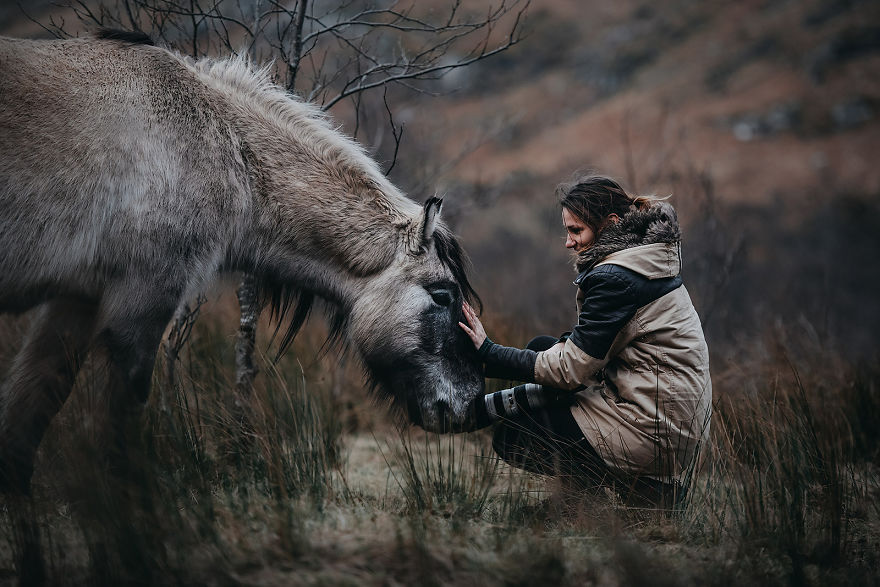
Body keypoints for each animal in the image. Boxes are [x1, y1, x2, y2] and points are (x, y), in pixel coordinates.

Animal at [0, 31, 484, 494]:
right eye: (442, 295)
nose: (470, 404)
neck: (223, 148)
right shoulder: (143, 298)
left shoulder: (76, 300)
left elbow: (30, 409)